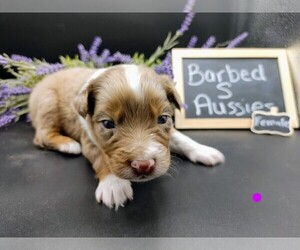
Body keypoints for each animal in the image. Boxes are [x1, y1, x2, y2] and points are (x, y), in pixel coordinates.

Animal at [28, 64, 225, 209]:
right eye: (108, 123)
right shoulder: (88, 138)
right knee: (42, 135)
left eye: (162, 119)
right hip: (48, 102)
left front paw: (204, 150)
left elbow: (180, 138)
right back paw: (68, 144)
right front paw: (114, 185)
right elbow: (102, 157)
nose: (144, 165)